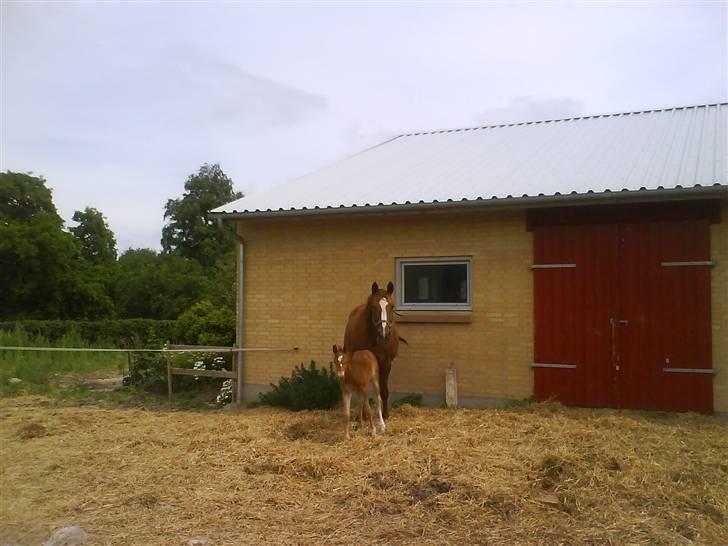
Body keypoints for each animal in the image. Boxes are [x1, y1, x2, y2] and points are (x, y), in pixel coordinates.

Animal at [346, 280, 400, 416]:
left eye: (392, 306)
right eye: (373, 307)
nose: (384, 334)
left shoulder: (386, 363)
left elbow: (384, 390)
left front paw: (385, 414)